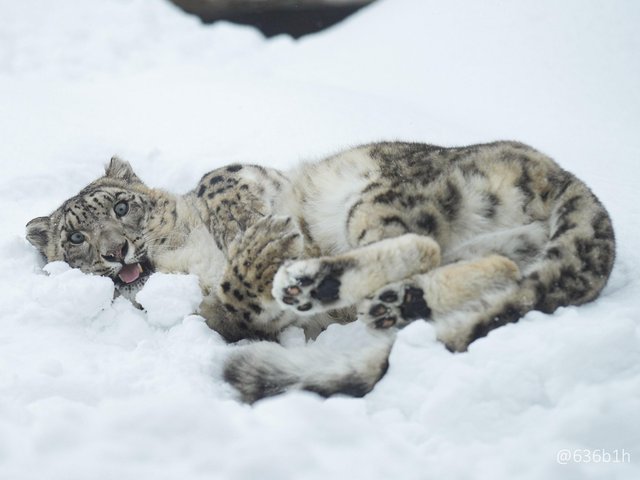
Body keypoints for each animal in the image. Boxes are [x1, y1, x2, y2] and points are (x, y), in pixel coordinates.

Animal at [26, 142, 616, 402]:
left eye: (121, 206)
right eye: (75, 238)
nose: (116, 250)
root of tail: (560, 173)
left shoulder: (237, 172)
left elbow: (225, 188)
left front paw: (250, 227)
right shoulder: (211, 316)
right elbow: (232, 310)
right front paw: (259, 252)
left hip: (376, 197)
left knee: (422, 243)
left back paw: (321, 277)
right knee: (474, 262)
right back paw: (368, 296)